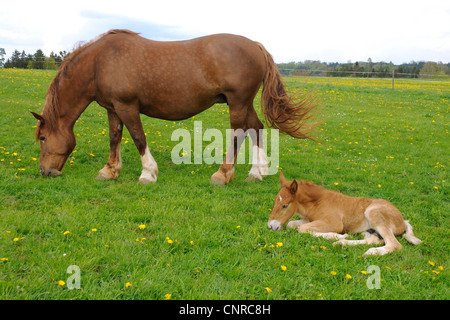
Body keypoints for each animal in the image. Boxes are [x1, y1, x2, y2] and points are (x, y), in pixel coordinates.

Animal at [30, 30, 316, 185]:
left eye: (43, 138)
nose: (46, 172)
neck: (100, 61)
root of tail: (255, 46)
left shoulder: (127, 106)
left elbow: (138, 137)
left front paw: (148, 174)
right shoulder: (113, 108)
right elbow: (114, 137)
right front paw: (109, 171)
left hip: (238, 102)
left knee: (239, 133)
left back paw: (223, 174)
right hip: (244, 104)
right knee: (255, 129)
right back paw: (257, 172)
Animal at [268, 172, 422, 258]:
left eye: (285, 205)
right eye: (275, 201)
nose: (270, 226)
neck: (316, 203)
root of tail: (403, 221)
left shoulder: (334, 223)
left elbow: (302, 229)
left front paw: (337, 235)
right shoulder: (307, 220)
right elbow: (292, 224)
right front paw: (341, 238)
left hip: (374, 214)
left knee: (394, 244)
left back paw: (368, 252)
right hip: (370, 230)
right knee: (374, 240)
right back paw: (342, 244)